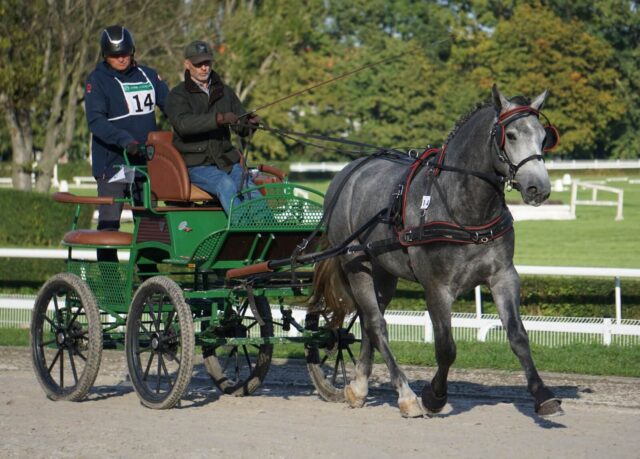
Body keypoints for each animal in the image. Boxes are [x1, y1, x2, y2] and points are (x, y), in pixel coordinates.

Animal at [312, 84, 564, 418]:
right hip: (357, 262)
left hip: (384, 271)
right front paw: (434, 395)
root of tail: (347, 173)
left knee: (368, 322)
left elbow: (518, 336)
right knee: (377, 324)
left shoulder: (503, 276)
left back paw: (359, 386)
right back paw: (405, 394)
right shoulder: (436, 287)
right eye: (510, 135)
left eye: (542, 135)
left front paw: (542, 394)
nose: (539, 188)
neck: (465, 211)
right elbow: (446, 347)